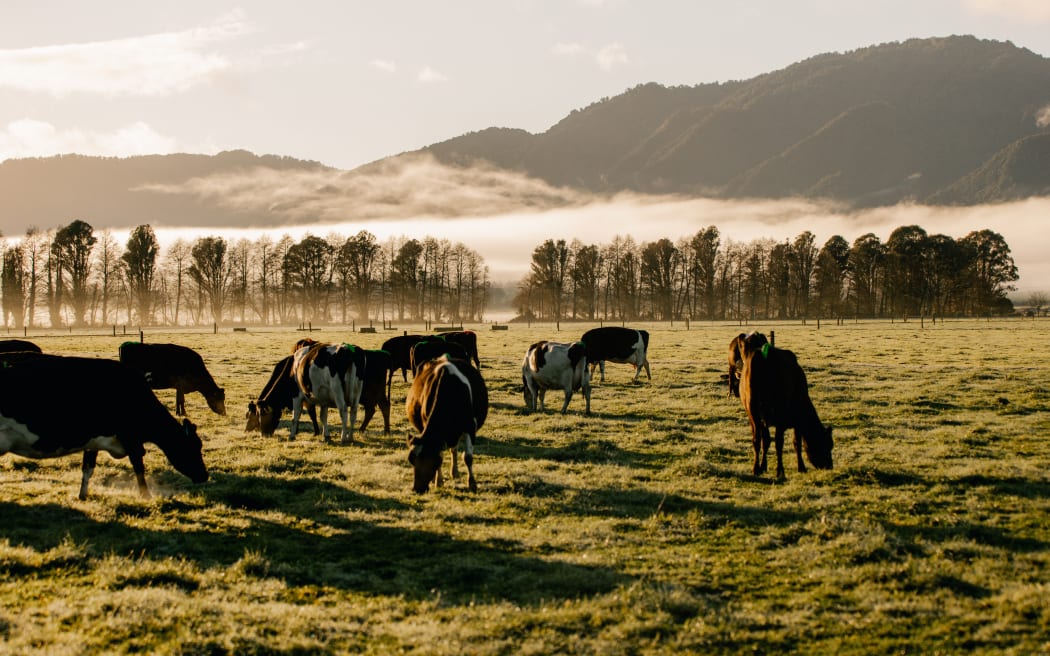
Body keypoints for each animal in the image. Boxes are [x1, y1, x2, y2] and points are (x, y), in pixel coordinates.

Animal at [0, 354, 207, 499]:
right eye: (192, 447)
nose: (204, 476)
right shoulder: (131, 439)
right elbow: (139, 467)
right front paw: (146, 495)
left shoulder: (94, 441)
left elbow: (88, 469)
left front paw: (83, 495)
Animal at [405, 358, 487, 491]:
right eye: (412, 461)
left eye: (432, 460)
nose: (418, 489)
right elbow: (443, 454)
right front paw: (438, 481)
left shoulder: (470, 427)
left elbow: (468, 457)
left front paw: (472, 483)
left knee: (454, 449)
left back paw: (455, 473)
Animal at [739, 331, 835, 476]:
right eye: (827, 445)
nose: (829, 465)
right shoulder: (795, 421)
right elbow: (796, 442)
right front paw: (801, 467)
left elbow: (766, 441)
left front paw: (763, 466)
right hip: (775, 413)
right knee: (777, 442)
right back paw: (779, 471)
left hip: (752, 410)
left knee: (757, 440)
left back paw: (756, 468)